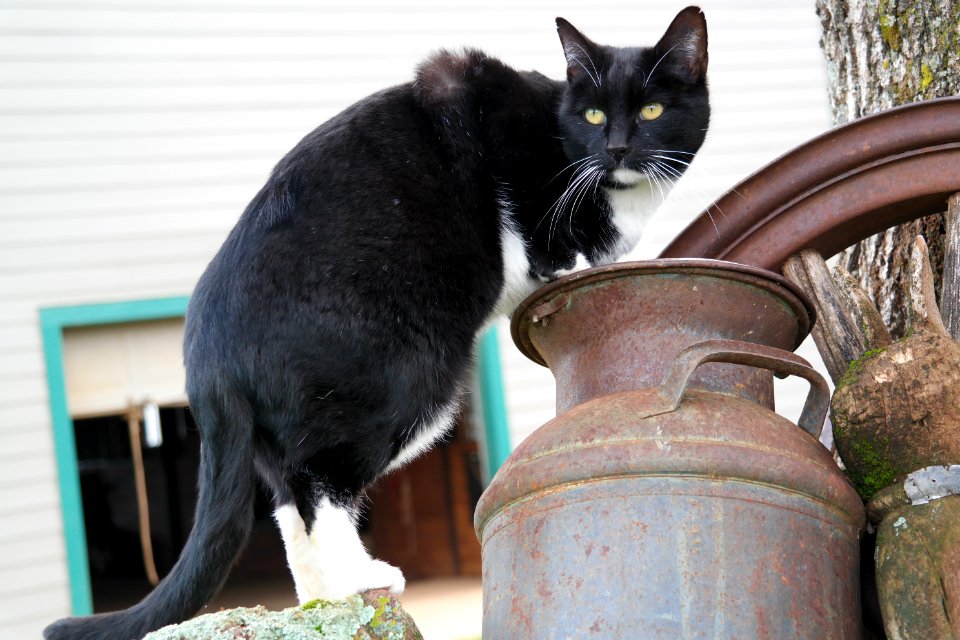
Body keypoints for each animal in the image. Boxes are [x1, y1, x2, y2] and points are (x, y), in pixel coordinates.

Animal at [45, 8, 704, 640]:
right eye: (593, 114)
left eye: (651, 109)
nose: (616, 149)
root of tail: (206, 354)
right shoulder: (480, 100)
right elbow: (550, 242)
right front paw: (570, 264)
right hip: (405, 378)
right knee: (318, 481)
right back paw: (364, 577)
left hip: (284, 426)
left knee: (287, 500)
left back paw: (323, 598)